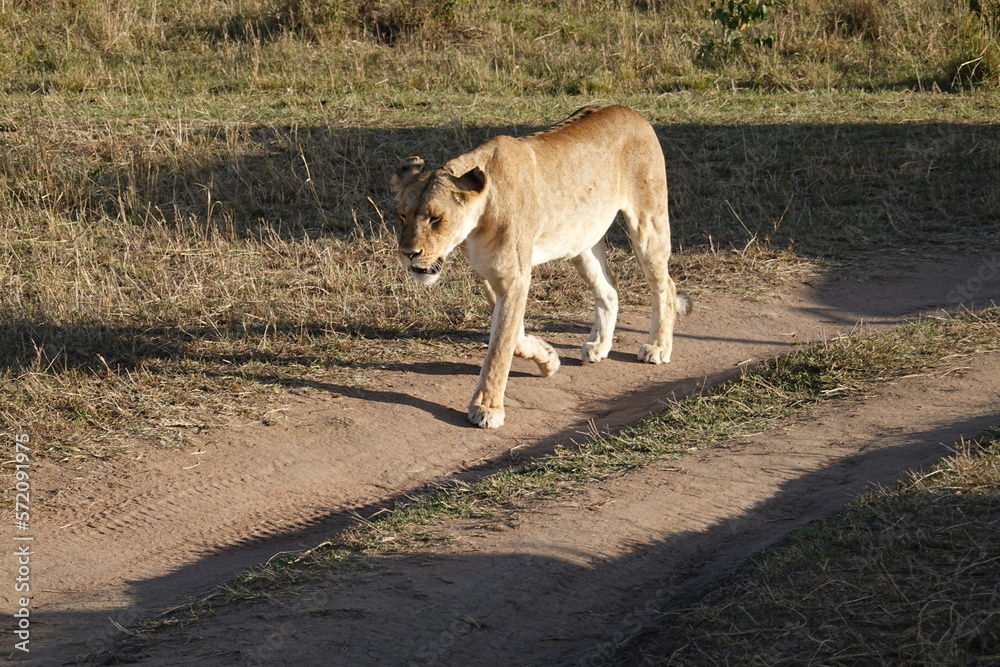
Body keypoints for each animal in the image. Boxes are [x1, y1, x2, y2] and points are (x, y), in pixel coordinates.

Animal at [391, 105, 691, 429]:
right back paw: (599, 345)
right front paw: (548, 358)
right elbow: (514, 338)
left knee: (666, 286)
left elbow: (500, 347)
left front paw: (487, 407)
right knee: (609, 290)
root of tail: (629, 110)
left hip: (647, 224)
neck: (478, 220)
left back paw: (657, 347)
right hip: (581, 243)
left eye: (436, 218)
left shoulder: (514, 278)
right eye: (402, 215)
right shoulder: (490, 276)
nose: (408, 254)